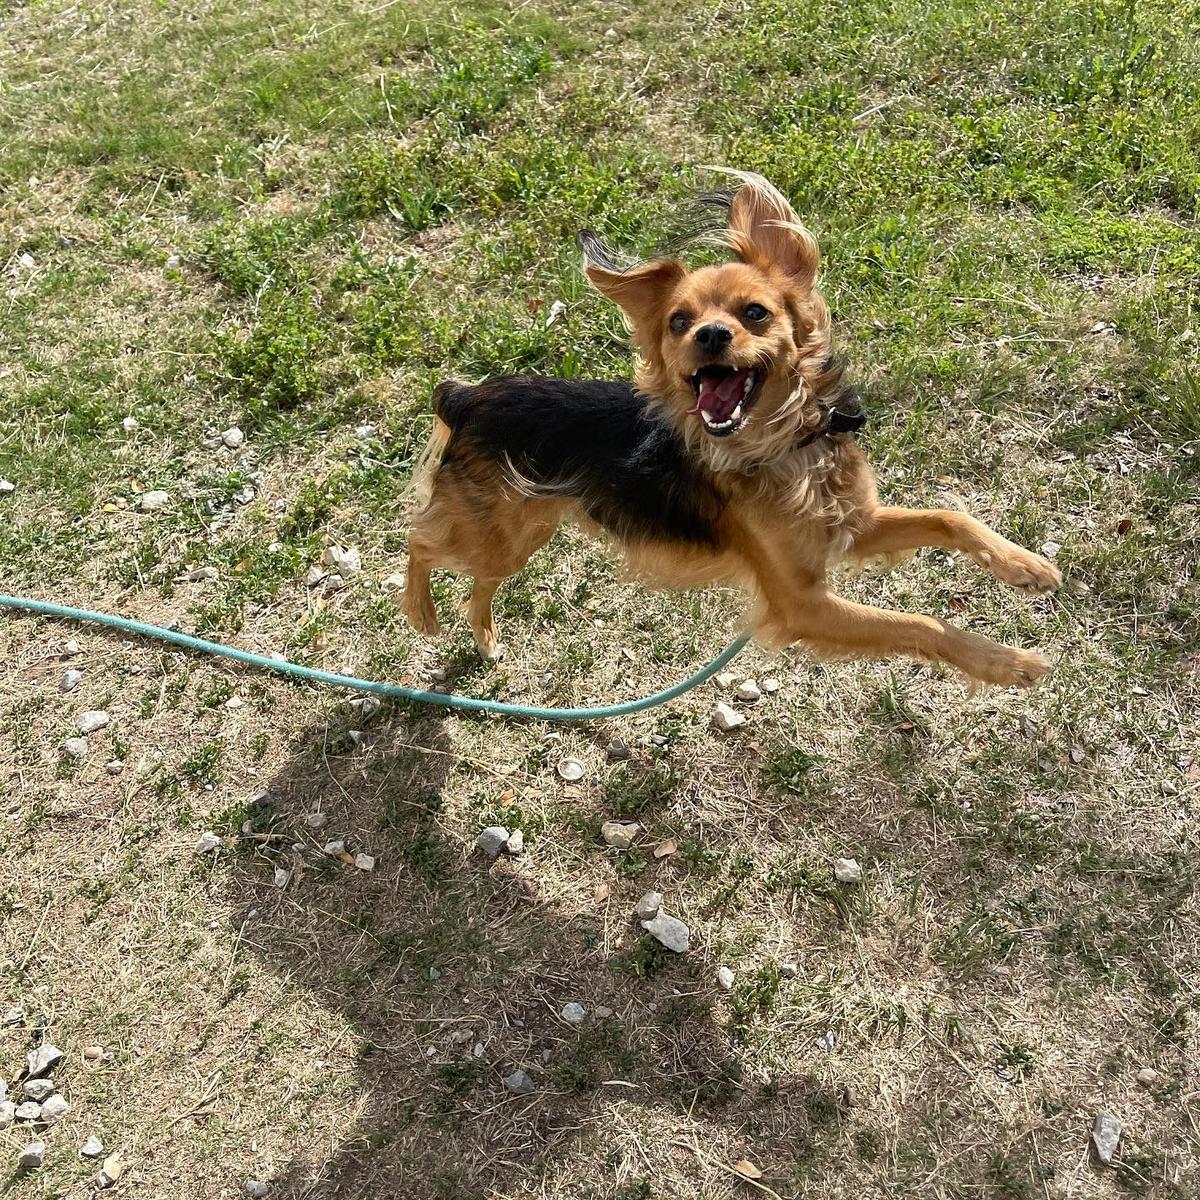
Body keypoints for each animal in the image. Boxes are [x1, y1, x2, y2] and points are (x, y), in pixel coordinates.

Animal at [403, 174, 1060, 691]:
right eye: (678, 322)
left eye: (755, 313)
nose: (711, 335)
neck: (784, 446)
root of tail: (465, 397)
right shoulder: (802, 602)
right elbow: (919, 623)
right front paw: (1009, 663)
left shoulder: (849, 525)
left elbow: (953, 517)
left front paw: (1024, 566)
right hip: (498, 533)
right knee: (420, 542)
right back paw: (421, 614)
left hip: (523, 532)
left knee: (476, 581)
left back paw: (485, 638)